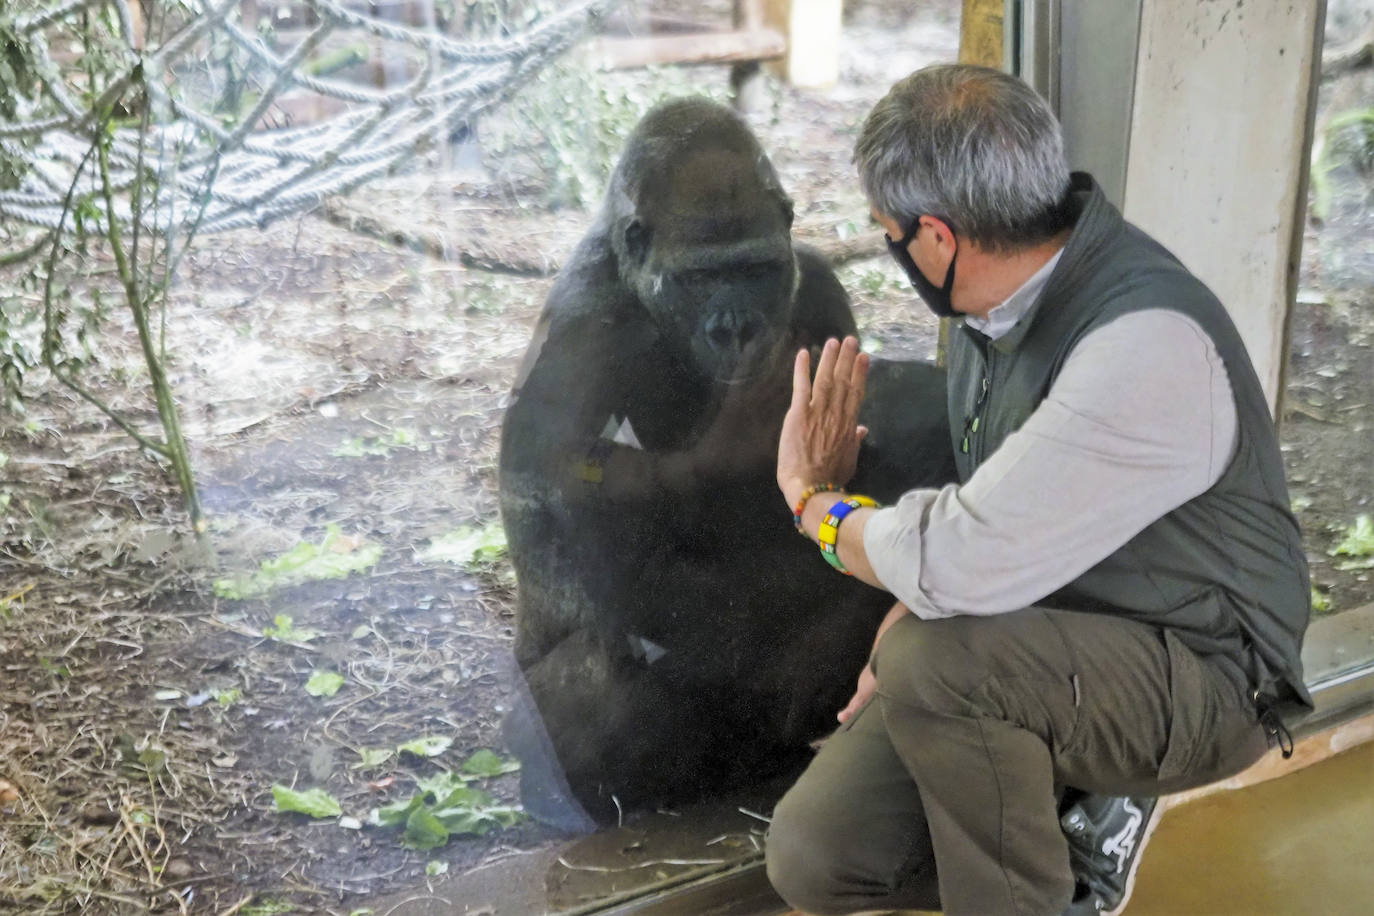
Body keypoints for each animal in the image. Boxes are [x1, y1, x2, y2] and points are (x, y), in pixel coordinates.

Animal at [497, 96, 956, 829]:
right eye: (702, 277)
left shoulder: (814, 282)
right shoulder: (578, 331)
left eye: (753, 270)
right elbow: (589, 545)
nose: (735, 328)